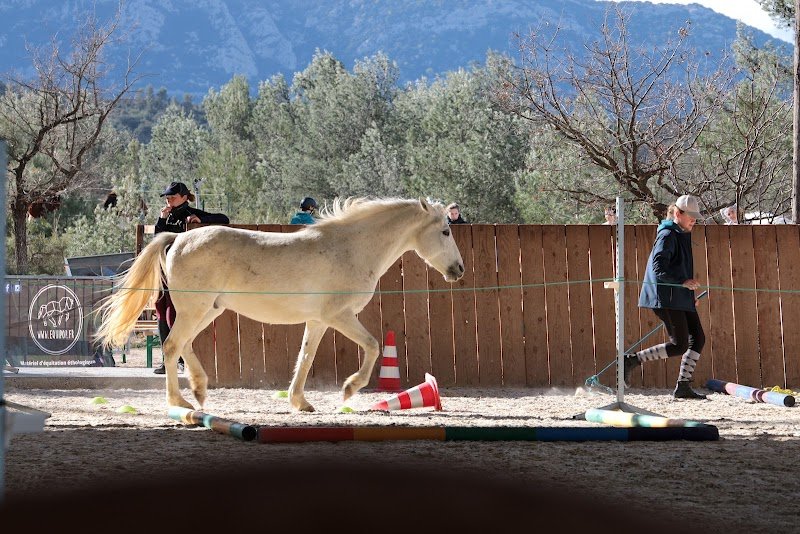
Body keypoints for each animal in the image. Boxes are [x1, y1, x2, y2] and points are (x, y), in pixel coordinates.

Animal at [95, 197, 465, 412]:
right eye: (446, 232)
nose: (459, 270)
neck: (351, 248)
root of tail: (178, 237)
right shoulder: (340, 316)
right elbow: (374, 346)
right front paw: (348, 390)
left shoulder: (318, 321)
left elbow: (305, 357)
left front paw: (300, 402)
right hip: (195, 310)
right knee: (172, 346)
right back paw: (181, 402)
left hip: (207, 310)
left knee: (182, 344)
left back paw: (199, 390)